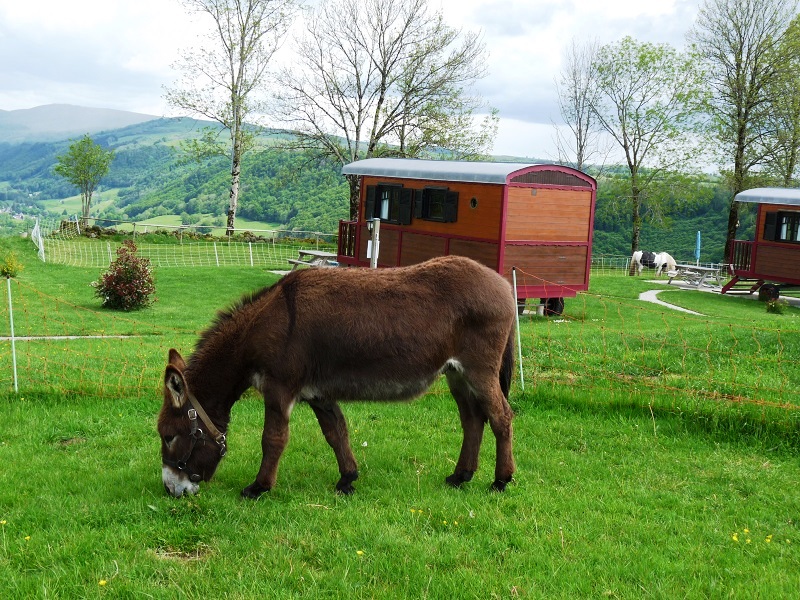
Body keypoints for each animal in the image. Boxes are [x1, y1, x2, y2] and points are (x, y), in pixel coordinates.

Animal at [158, 255, 520, 500]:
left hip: (479, 369)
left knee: (501, 417)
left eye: (168, 436)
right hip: (457, 374)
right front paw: (348, 479)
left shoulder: (279, 388)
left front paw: (258, 487)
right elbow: (336, 432)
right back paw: (460, 476)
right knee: (473, 419)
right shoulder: (319, 394)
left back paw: (501, 480)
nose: (169, 489)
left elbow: (273, 439)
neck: (259, 328)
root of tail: (502, 283)